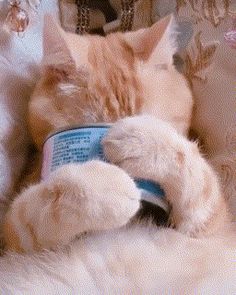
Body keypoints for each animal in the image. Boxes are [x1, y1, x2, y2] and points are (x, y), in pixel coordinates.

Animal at [0, 15, 235, 294]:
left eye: (148, 118)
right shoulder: (16, 238)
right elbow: (42, 202)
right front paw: (108, 186)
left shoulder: (211, 226)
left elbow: (196, 172)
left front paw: (141, 140)